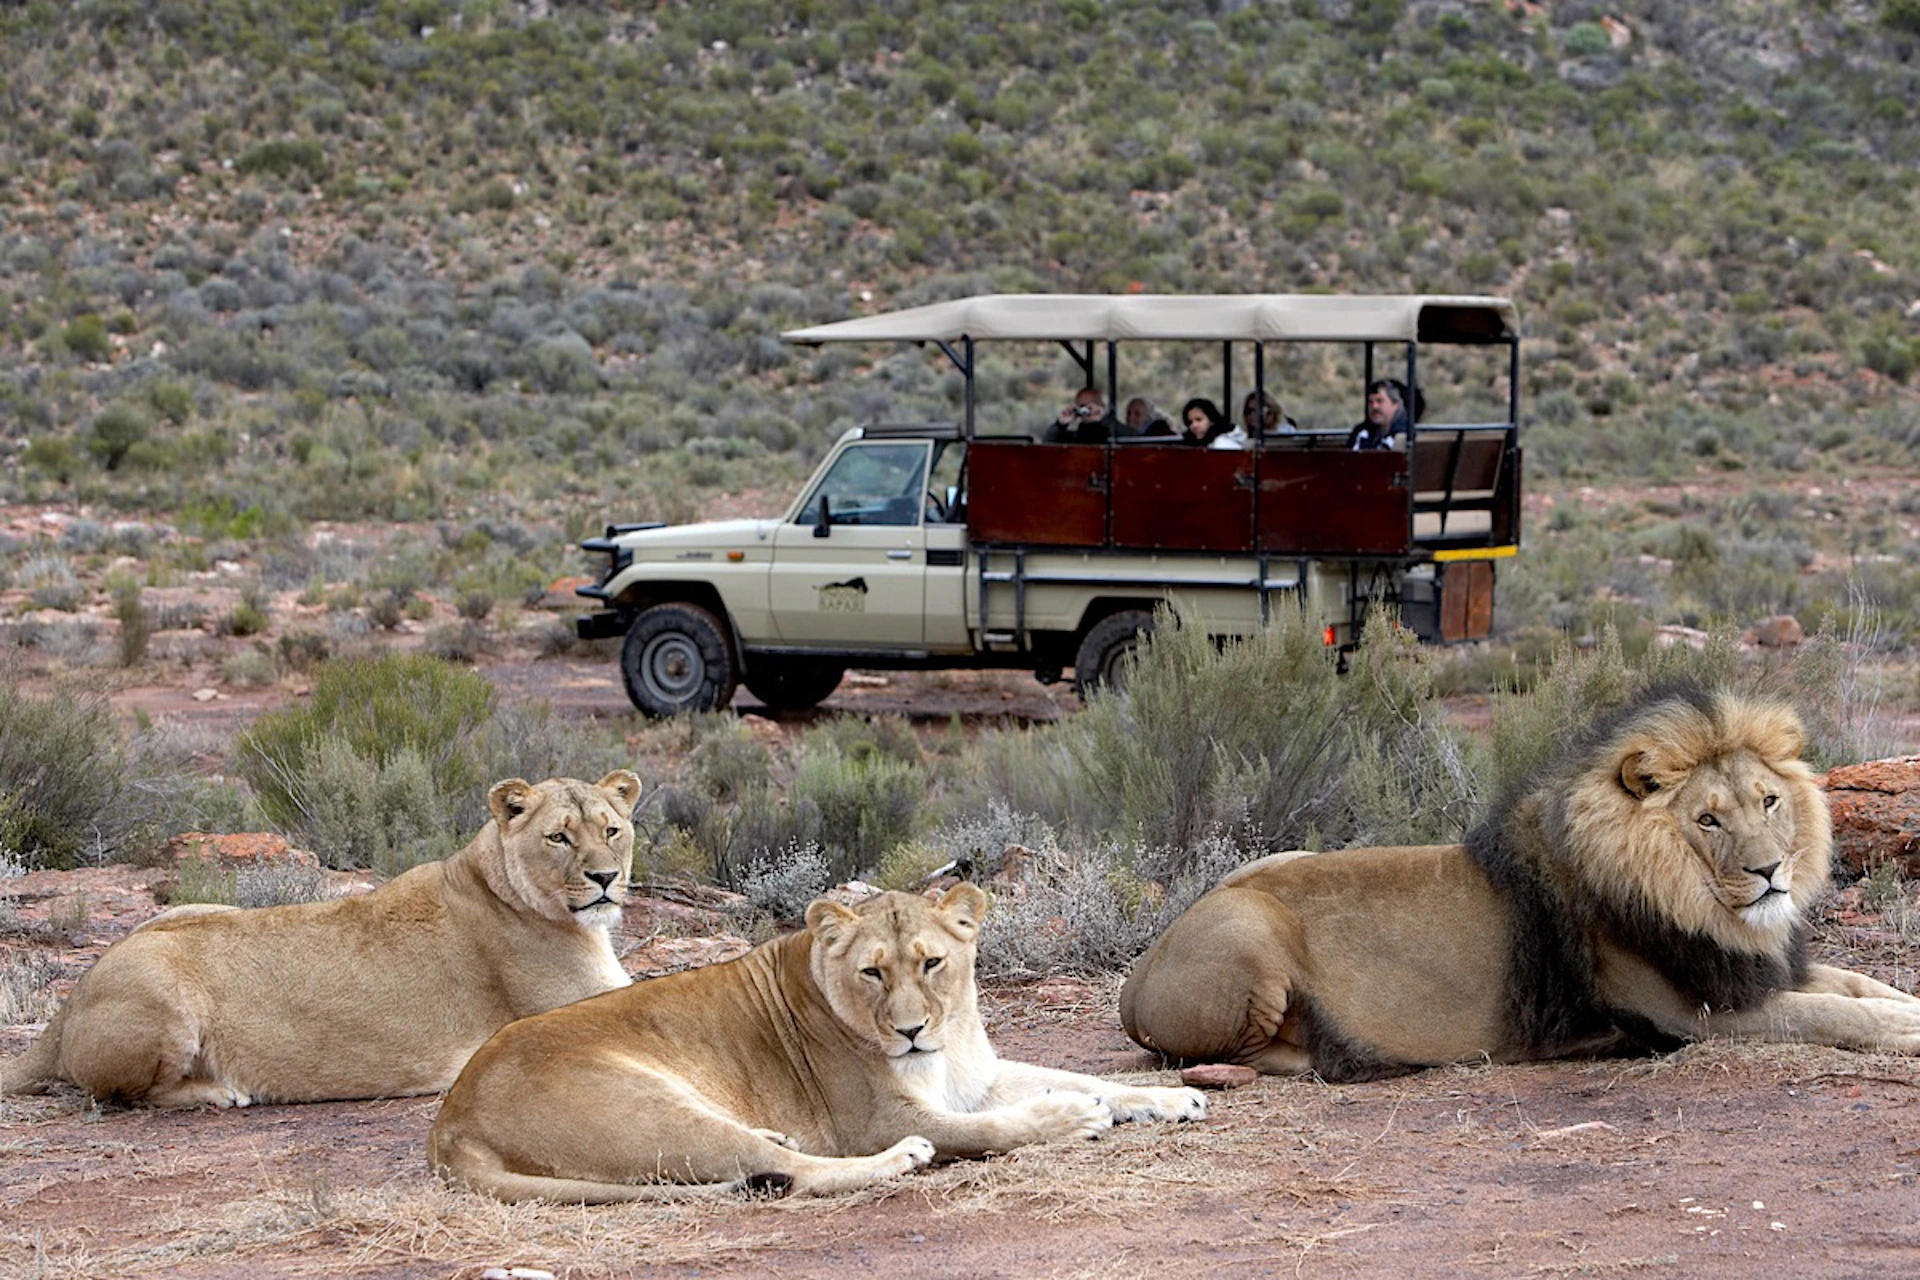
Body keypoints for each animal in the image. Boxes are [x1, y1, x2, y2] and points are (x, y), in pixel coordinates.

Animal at [1, 771, 643, 1108]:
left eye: (612, 829)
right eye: (559, 837)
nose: (605, 878)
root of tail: (69, 1004)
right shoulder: (573, 1011)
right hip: (161, 991)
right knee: (124, 1093)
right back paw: (220, 1092)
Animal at [428, 884, 1206, 1202]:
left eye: (931, 962)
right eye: (872, 972)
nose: (911, 1030)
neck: (948, 1038)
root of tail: (449, 1122)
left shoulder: (974, 1077)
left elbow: (1081, 1076)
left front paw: (1170, 1100)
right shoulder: (881, 1116)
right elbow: (993, 1128)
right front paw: (1071, 1118)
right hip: (651, 1108)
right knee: (787, 1173)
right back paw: (896, 1161)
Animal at [1119, 683, 1920, 1081]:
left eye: (1769, 801)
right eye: (1708, 819)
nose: (1769, 871)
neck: (1703, 906)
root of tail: (1139, 973)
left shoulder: (1753, 972)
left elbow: (1860, 987)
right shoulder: (1695, 1016)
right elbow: (1834, 1016)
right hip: (1247, 931)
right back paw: (1340, 1056)